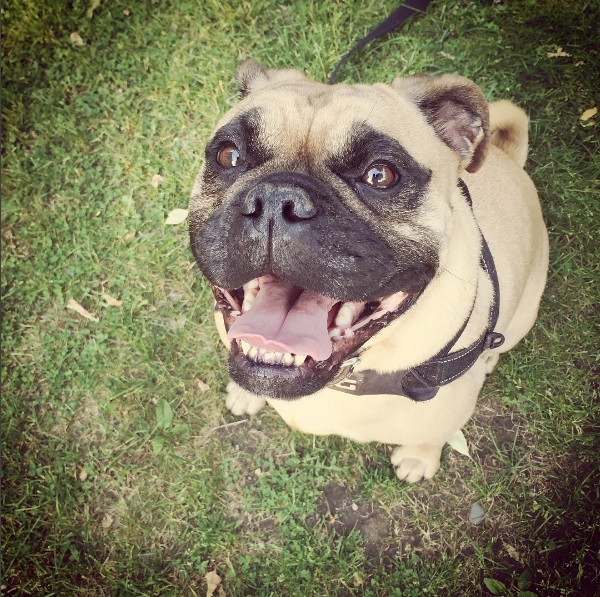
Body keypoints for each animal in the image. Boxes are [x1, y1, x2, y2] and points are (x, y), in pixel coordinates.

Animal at [189, 59, 548, 480]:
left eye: (380, 175)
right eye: (229, 156)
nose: (278, 199)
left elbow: (433, 436)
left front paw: (419, 459)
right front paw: (244, 394)